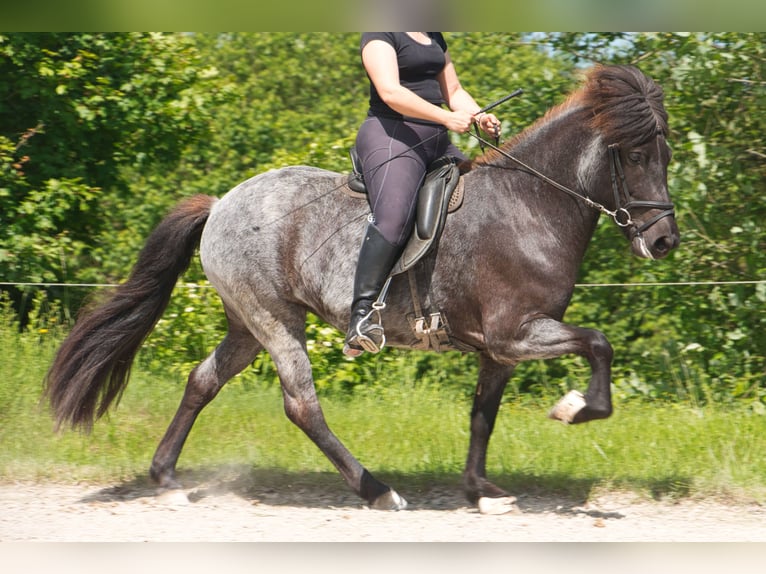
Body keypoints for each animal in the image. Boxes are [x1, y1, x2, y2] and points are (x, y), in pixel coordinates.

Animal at [45, 65, 684, 516]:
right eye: (634, 154)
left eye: (667, 154)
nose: (663, 241)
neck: (529, 205)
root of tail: (223, 202)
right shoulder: (518, 333)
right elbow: (599, 344)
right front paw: (575, 408)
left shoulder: (500, 349)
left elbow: (483, 414)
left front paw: (481, 489)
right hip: (275, 320)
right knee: (302, 404)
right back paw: (377, 491)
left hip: (246, 324)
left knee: (202, 381)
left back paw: (167, 479)